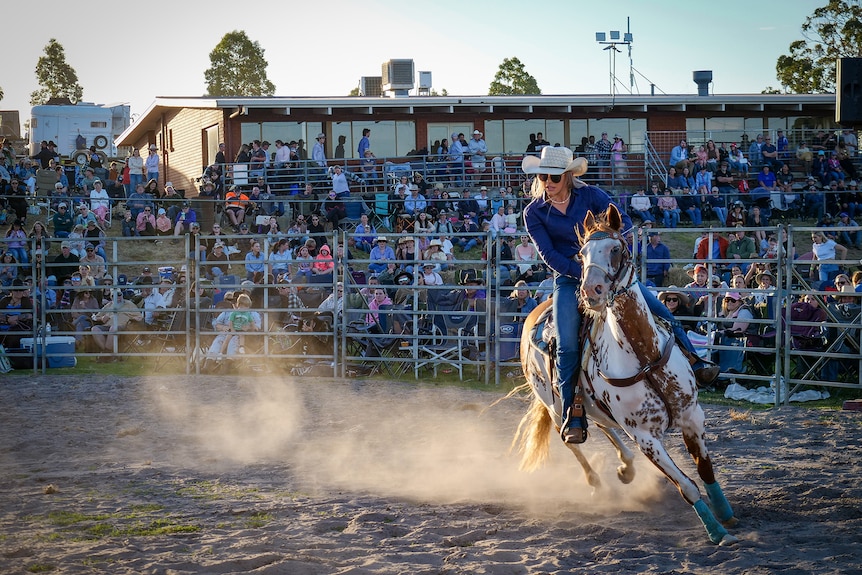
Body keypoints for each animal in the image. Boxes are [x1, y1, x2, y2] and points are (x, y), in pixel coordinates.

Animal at [514, 203, 738, 545]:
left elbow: (705, 471)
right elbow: (686, 485)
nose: (590, 291)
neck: (645, 357)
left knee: (604, 426)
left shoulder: (692, 416)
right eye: (581, 253)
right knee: (570, 437)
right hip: (553, 403)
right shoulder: (645, 437)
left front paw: (726, 514)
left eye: (616, 248)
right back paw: (596, 479)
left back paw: (626, 468)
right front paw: (716, 531)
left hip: (592, 406)